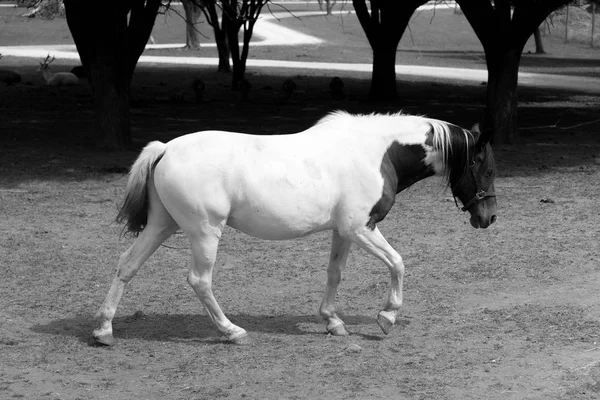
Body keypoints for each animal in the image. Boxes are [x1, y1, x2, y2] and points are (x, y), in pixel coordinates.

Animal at [92, 111, 496, 346]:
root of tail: (165, 149)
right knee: (199, 280)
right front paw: (387, 317)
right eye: (485, 165)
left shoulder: (343, 232)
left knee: (127, 265)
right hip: (204, 232)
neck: (376, 152)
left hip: (163, 224)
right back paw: (232, 331)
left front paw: (333, 321)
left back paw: (104, 330)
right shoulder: (361, 228)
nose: (488, 217)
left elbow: (335, 273)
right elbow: (397, 263)